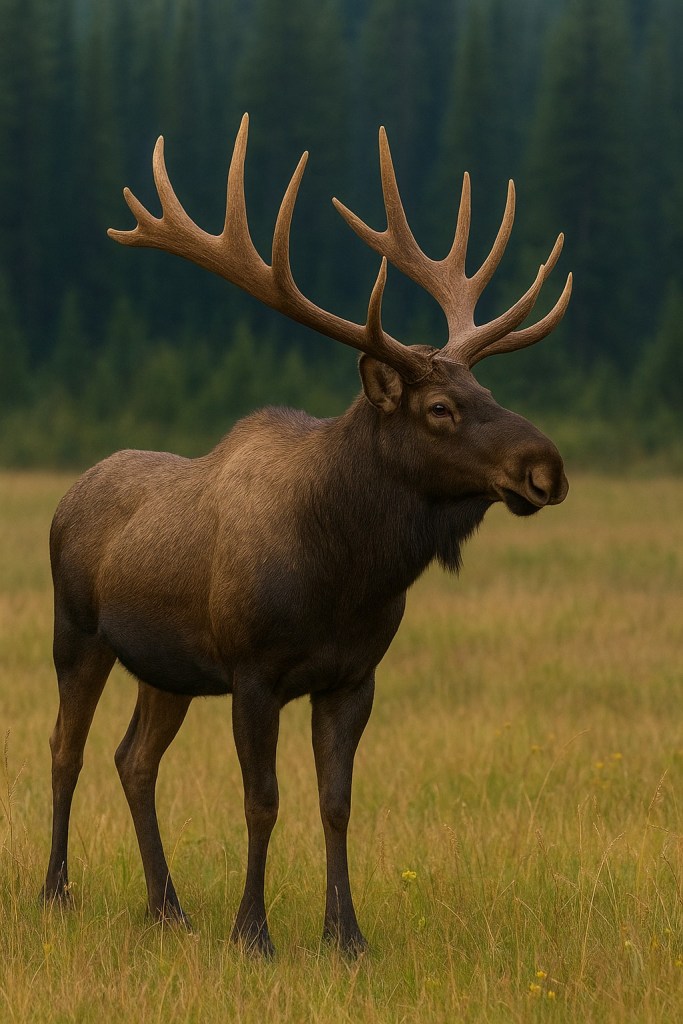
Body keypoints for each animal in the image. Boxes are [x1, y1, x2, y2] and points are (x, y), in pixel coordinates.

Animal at [42, 114, 571, 956]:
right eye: (439, 409)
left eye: (487, 388)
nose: (545, 468)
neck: (345, 575)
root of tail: (67, 496)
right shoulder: (253, 671)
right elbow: (263, 800)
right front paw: (251, 932)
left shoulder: (352, 677)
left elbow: (335, 803)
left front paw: (345, 935)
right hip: (78, 632)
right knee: (67, 748)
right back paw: (56, 890)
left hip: (165, 666)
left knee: (134, 759)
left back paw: (167, 906)